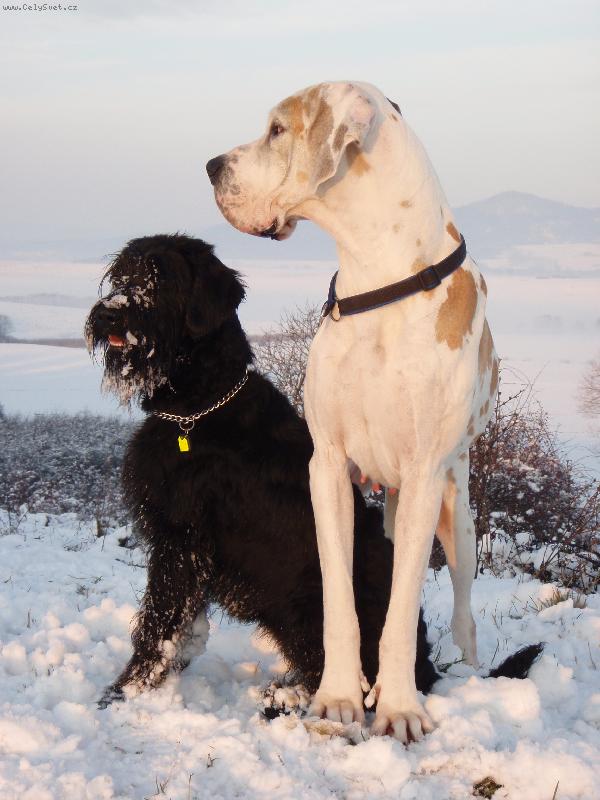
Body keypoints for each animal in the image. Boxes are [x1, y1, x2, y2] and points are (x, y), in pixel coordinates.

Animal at [85, 233, 441, 711]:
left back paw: (284, 699)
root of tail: (427, 668)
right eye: (121, 275)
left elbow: (158, 623)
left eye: (161, 277)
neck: (198, 405)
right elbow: (182, 625)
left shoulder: (180, 539)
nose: (109, 313)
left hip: (308, 606)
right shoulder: (187, 547)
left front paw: (125, 691)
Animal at [206, 81, 505, 740]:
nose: (211, 166)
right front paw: (339, 698)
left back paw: (468, 670)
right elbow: (340, 601)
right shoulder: (327, 466)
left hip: (457, 513)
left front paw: (398, 708)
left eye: (277, 130)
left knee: (464, 607)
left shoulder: (423, 478)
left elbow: (401, 611)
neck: (380, 277)